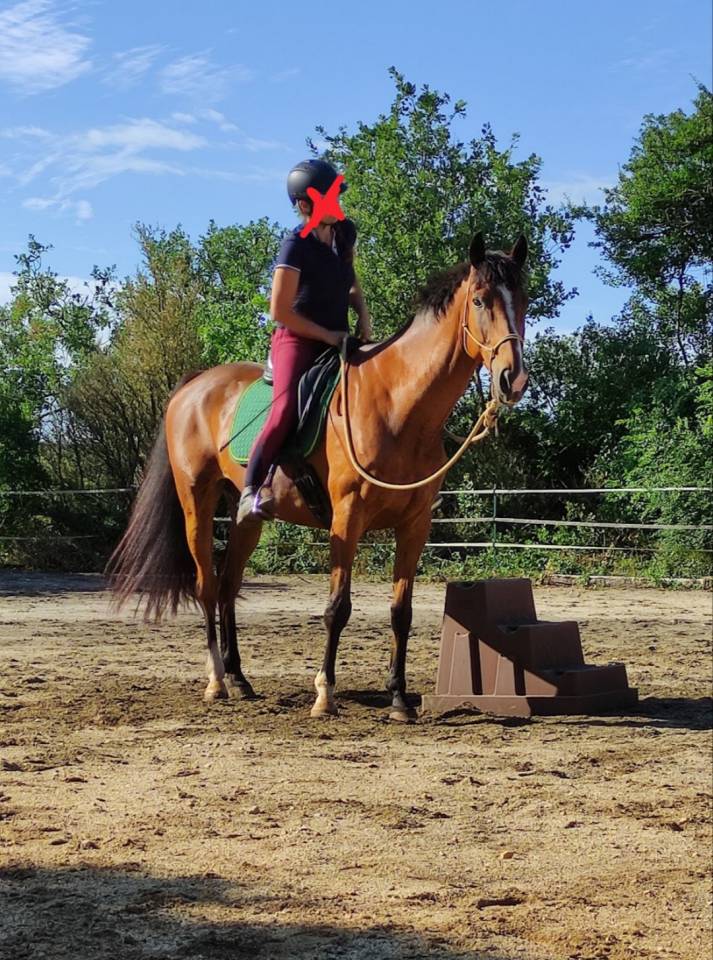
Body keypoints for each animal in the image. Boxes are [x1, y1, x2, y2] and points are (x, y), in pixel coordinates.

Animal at [106, 231, 529, 721]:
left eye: (522, 300)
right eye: (479, 300)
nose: (513, 378)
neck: (399, 405)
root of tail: (194, 385)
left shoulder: (415, 524)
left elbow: (401, 611)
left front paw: (399, 698)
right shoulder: (347, 518)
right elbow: (337, 608)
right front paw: (325, 693)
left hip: (247, 517)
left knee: (229, 585)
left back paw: (239, 677)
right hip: (197, 500)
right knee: (207, 587)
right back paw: (217, 681)